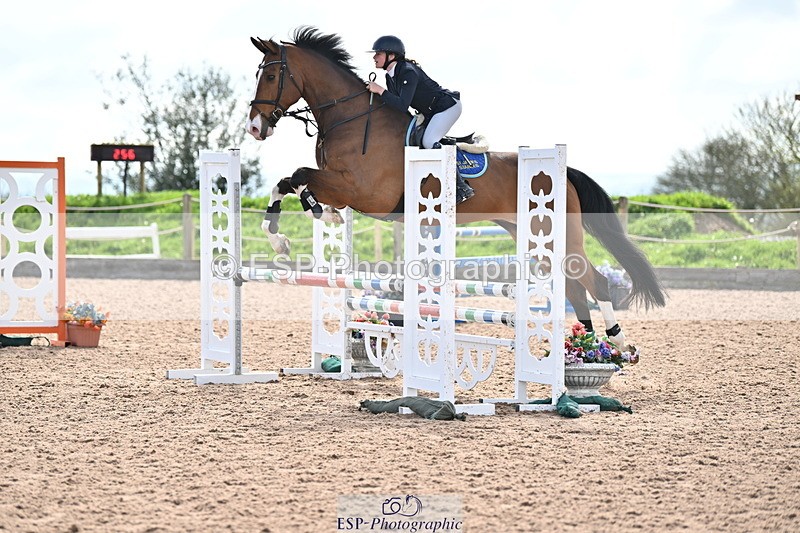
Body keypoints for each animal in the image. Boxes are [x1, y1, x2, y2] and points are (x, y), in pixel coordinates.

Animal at [245, 26, 666, 347]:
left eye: (271, 76)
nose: (254, 127)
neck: (351, 117)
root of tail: (563, 171)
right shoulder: (344, 186)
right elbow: (289, 182)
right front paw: (291, 228)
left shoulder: (365, 192)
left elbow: (298, 176)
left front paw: (299, 222)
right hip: (533, 237)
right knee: (575, 287)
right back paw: (584, 344)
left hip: (558, 233)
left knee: (593, 281)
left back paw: (616, 342)